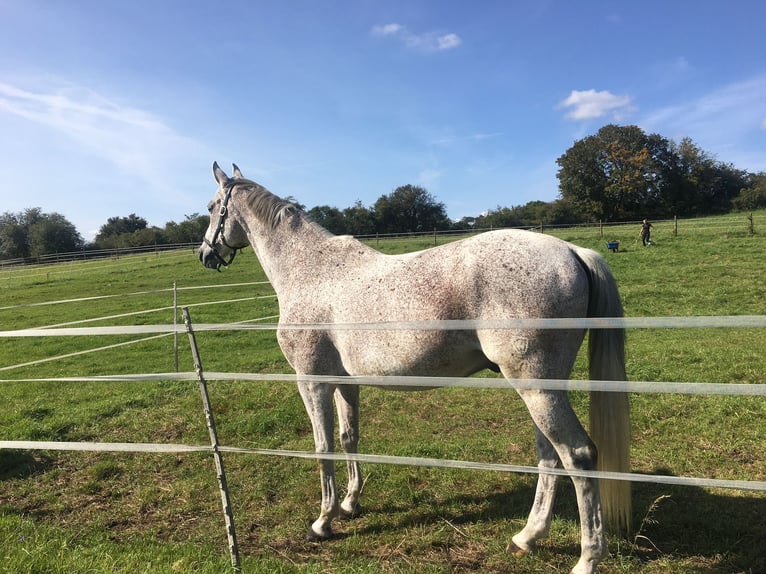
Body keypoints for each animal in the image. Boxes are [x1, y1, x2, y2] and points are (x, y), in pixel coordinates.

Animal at [201, 162, 632, 574]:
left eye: (210, 208)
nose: (206, 254)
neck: (310, 271)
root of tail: (572, 251)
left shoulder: (312, 382)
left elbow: (323, 448)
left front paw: (322, 522)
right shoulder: (345, 382)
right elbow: (348, 437)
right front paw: (351, 504)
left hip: (537, 388)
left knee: (577, 455)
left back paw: (587, 559)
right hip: (540, 389)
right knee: (549, 456)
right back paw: (526, 537)